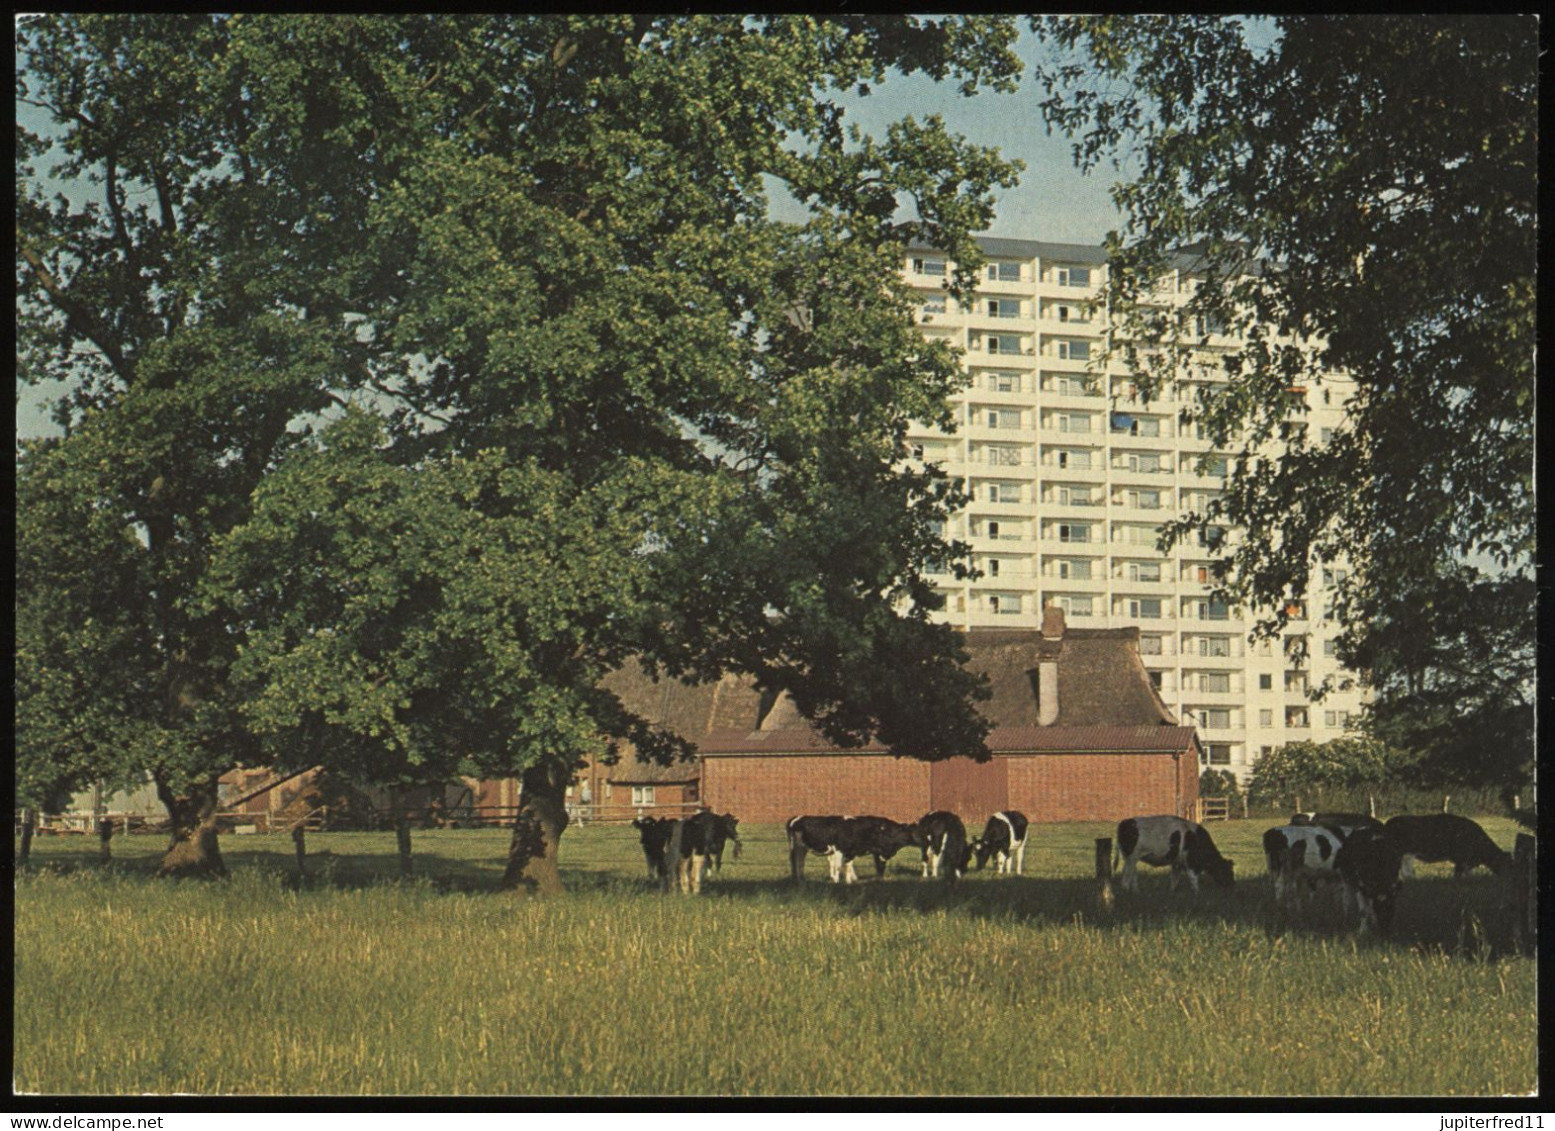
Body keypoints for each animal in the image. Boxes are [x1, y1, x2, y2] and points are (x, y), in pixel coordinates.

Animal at [789, 815, 920, 883]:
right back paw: (799, 880)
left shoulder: (851, 852)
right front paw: (836, 882)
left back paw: (801, 879)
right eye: (909, 831)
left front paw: (849, 882)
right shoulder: (839, 850)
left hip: (803, 848)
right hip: (796, 847)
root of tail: (795, 819)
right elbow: (838, 867)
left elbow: (848, 866)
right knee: (796, 862)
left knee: (800, 863)